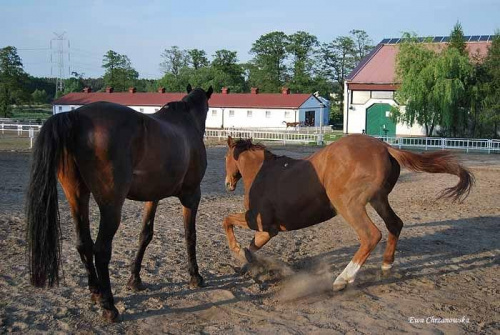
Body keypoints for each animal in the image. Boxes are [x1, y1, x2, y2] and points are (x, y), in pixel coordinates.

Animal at [25, 85, 213, 322]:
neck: (186, 122)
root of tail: (76, 117)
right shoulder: (192, 195)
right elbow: (190, 235)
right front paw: (195, 276)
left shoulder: (153, 197)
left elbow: (145, 235)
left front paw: (135, 279)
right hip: (111, 207)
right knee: (101, 250)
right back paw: (109, 306)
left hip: (76, 197)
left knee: (83, 244)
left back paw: (96, 292)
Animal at [223, 136, 472, 292]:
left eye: (226, 158)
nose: (227, 184)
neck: (262, 173)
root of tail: (384, 147)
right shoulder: (267, 231)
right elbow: (251, 246)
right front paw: (246, 262)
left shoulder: (262, 225)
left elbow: (228, 222)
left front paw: (237, 251)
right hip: (378, 200)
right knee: (395, 225)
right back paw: (386, 266)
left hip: (349, 205)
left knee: (371, 235)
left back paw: (342, 279)